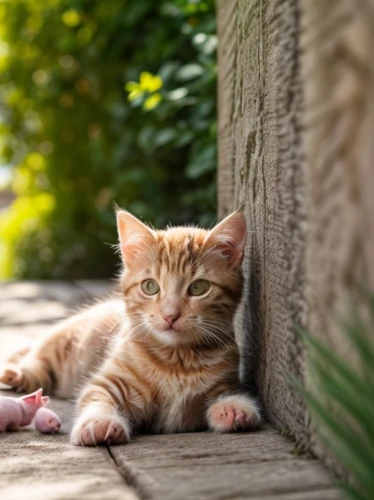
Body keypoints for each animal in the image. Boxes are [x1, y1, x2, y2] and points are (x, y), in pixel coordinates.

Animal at [0, 211, 260, 446]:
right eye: (150, 287)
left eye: (198, 288)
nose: (170, 315)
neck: (177, 361)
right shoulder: (109, 381)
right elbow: (96, 398)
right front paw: (99, 422)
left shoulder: (222, 382)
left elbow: (222, 396)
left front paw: (234, 408)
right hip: (59, 341)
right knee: (36, 361)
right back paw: (18, 374)